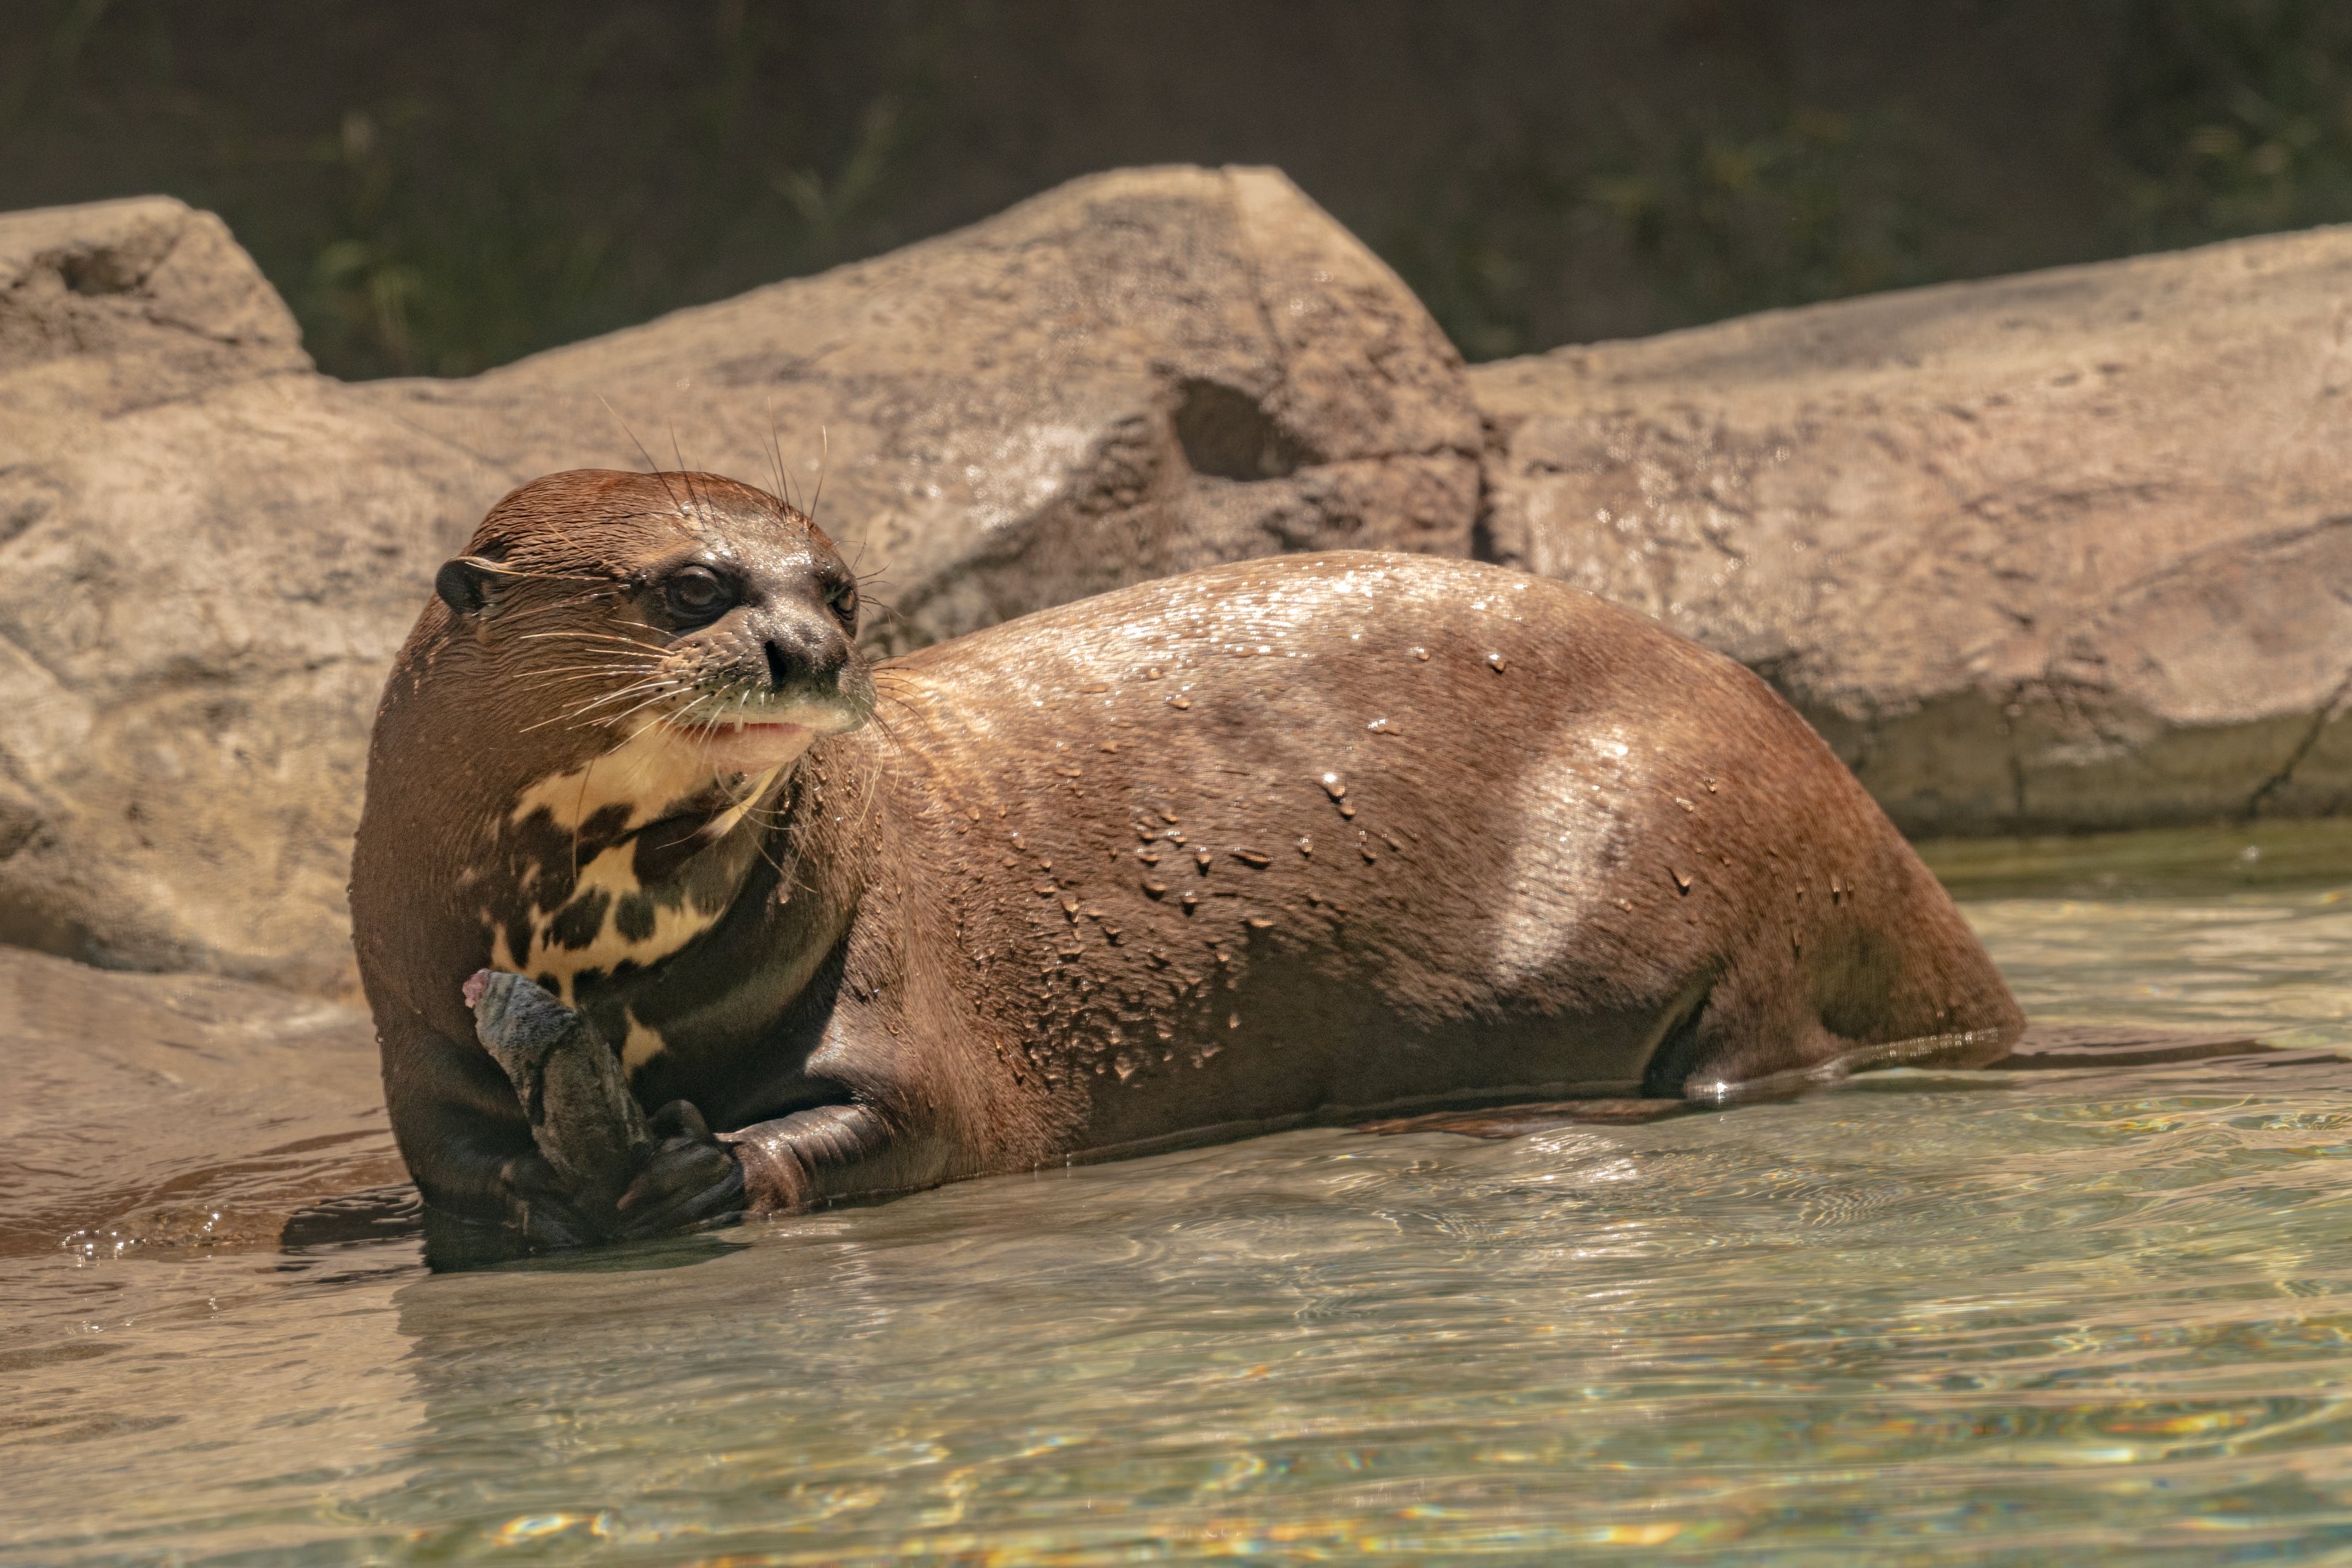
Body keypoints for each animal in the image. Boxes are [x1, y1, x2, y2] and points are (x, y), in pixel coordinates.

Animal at [351, 469, 2023, 1261]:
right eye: (693, 587)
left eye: (835, 585)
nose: (810, 649)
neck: (598, 957)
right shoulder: (419, 1029)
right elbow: (462, 1171)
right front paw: (551, 1191)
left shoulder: (893, 991)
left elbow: (899, 1116)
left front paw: (702, 1167)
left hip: (1718, 873)